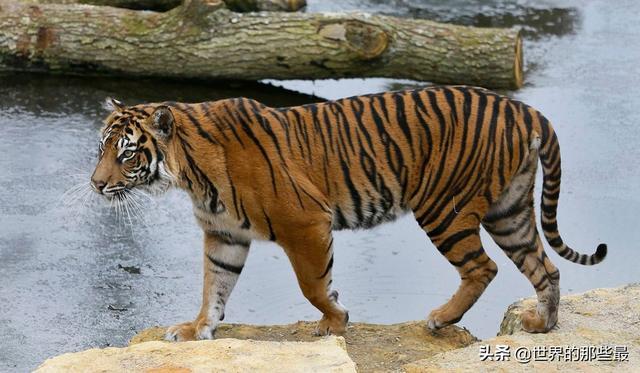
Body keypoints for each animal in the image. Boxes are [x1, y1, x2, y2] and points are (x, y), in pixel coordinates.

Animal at [89, 85, 604, 340]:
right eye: (101, 148)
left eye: (127, 153)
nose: (95, 183)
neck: (190, 173)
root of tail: (525, 109)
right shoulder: (224, 235)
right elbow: (214, 285)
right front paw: (198, 328)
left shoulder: (305, 223)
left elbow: (313, 285)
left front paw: (334, 320)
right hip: (508, 210)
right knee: (545, 267)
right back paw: (541, 325)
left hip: (445, 207)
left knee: (484, 267)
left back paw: (440, 319)